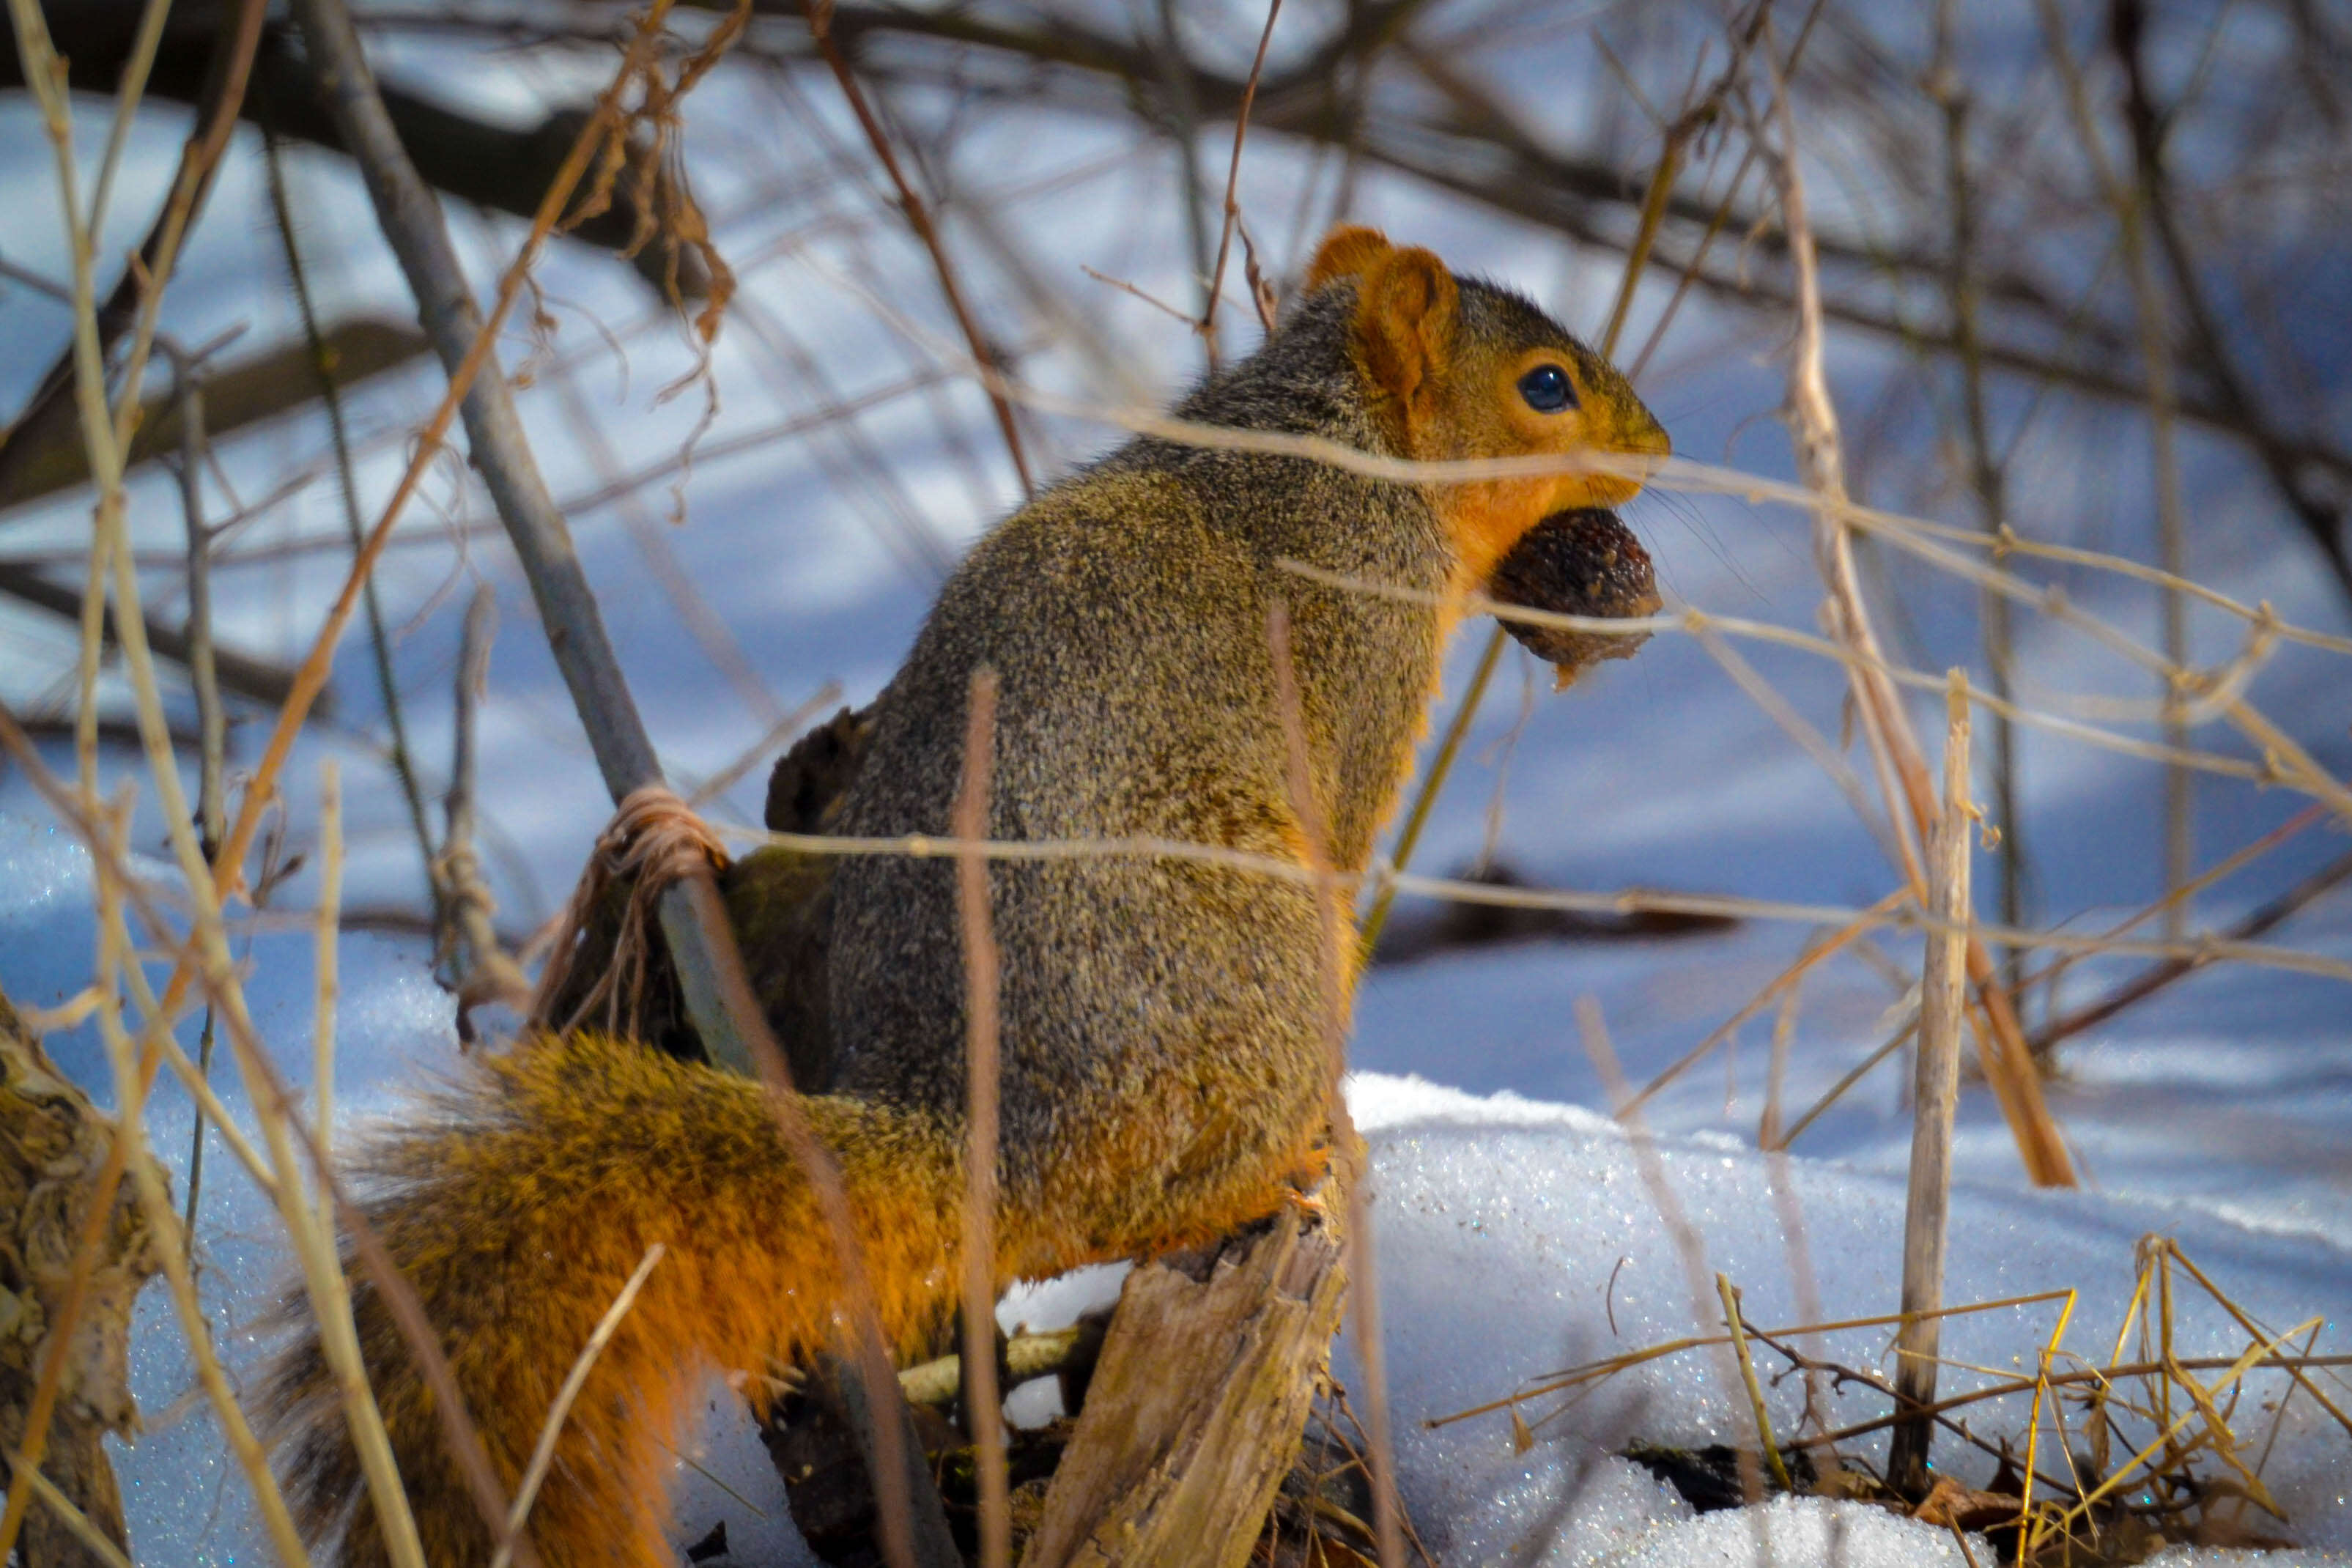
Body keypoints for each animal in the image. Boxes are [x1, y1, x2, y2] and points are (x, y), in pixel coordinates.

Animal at [262, 226, 1674, 1568]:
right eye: (1544, 386)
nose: (1659, 447)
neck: (1334, 444)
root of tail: (980, 1132)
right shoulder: (1358, 648)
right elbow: (1348, 824)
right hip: (1239, 957)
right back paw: (1285, 1166)